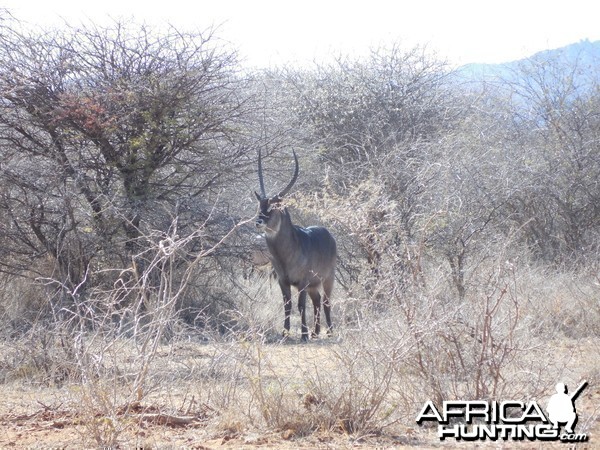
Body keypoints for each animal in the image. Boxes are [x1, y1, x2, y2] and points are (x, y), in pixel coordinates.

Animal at [254, 149, 338, 340]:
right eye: (259, 206)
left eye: (273, 207)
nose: (259, 222)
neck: (286, 254)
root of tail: (328, 234)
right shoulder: (282, 281)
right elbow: (287, 305)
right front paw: (285, 333)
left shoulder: (302, 282)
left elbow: (300, 306)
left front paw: (303, 334)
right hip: (313, 284)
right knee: (317, 301)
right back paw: (315, 332)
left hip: (328, 278)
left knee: (325, 301)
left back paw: (328, 332)